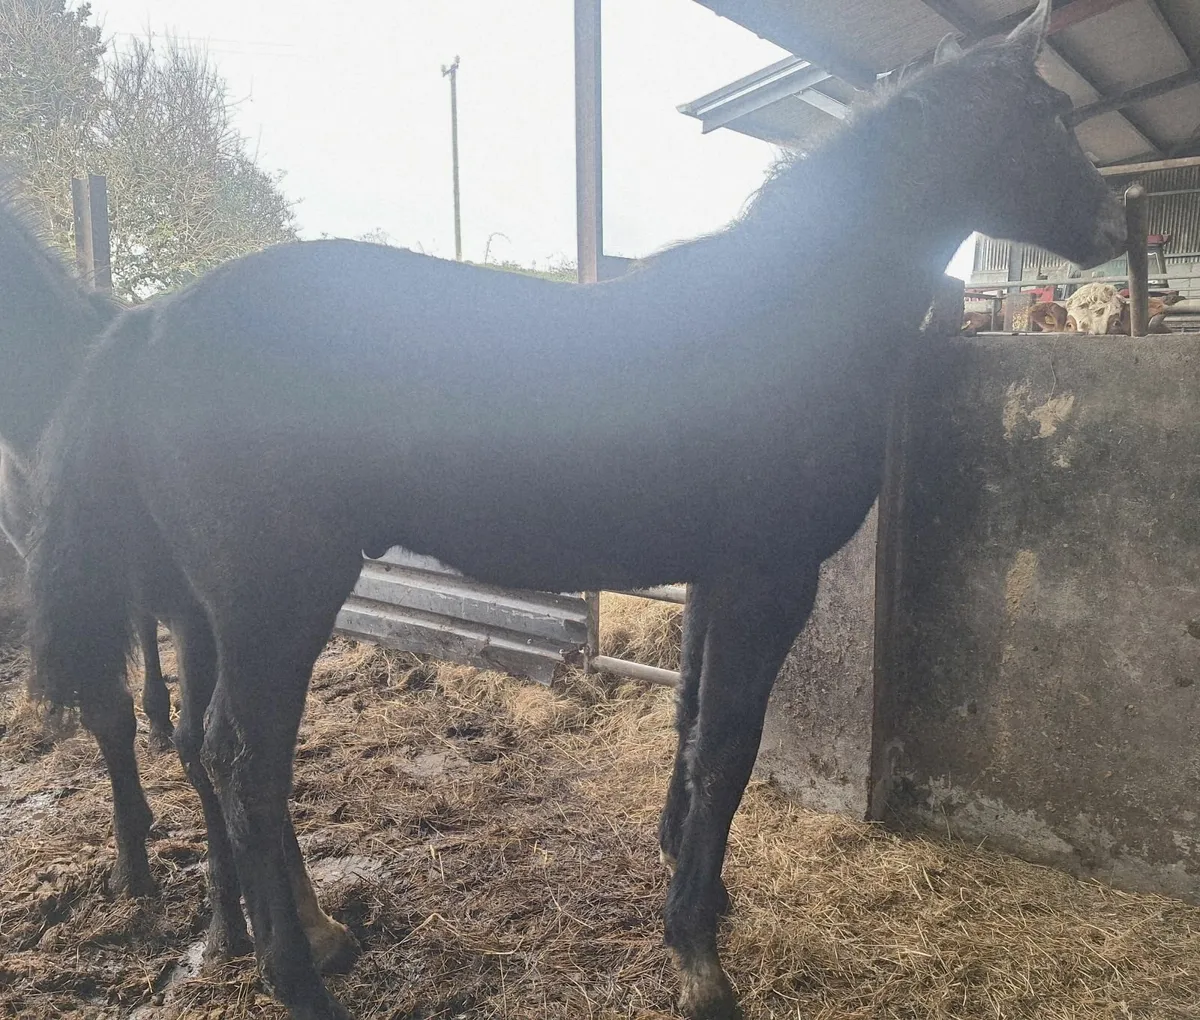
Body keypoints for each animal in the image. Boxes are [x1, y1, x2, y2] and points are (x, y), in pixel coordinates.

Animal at [19, 2, 1125, 1016]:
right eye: (1048, 112)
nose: (1114, 226)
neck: (787, 312)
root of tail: (150, 323)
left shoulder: (718, 577)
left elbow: (692, 725)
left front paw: (698, 895)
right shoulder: (771, 578)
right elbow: (729, 748)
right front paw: (699, 961)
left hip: (219, 605)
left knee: (226, 754)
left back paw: (315, 935)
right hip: (274, 598)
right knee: (245, 761)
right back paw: (300, 980)